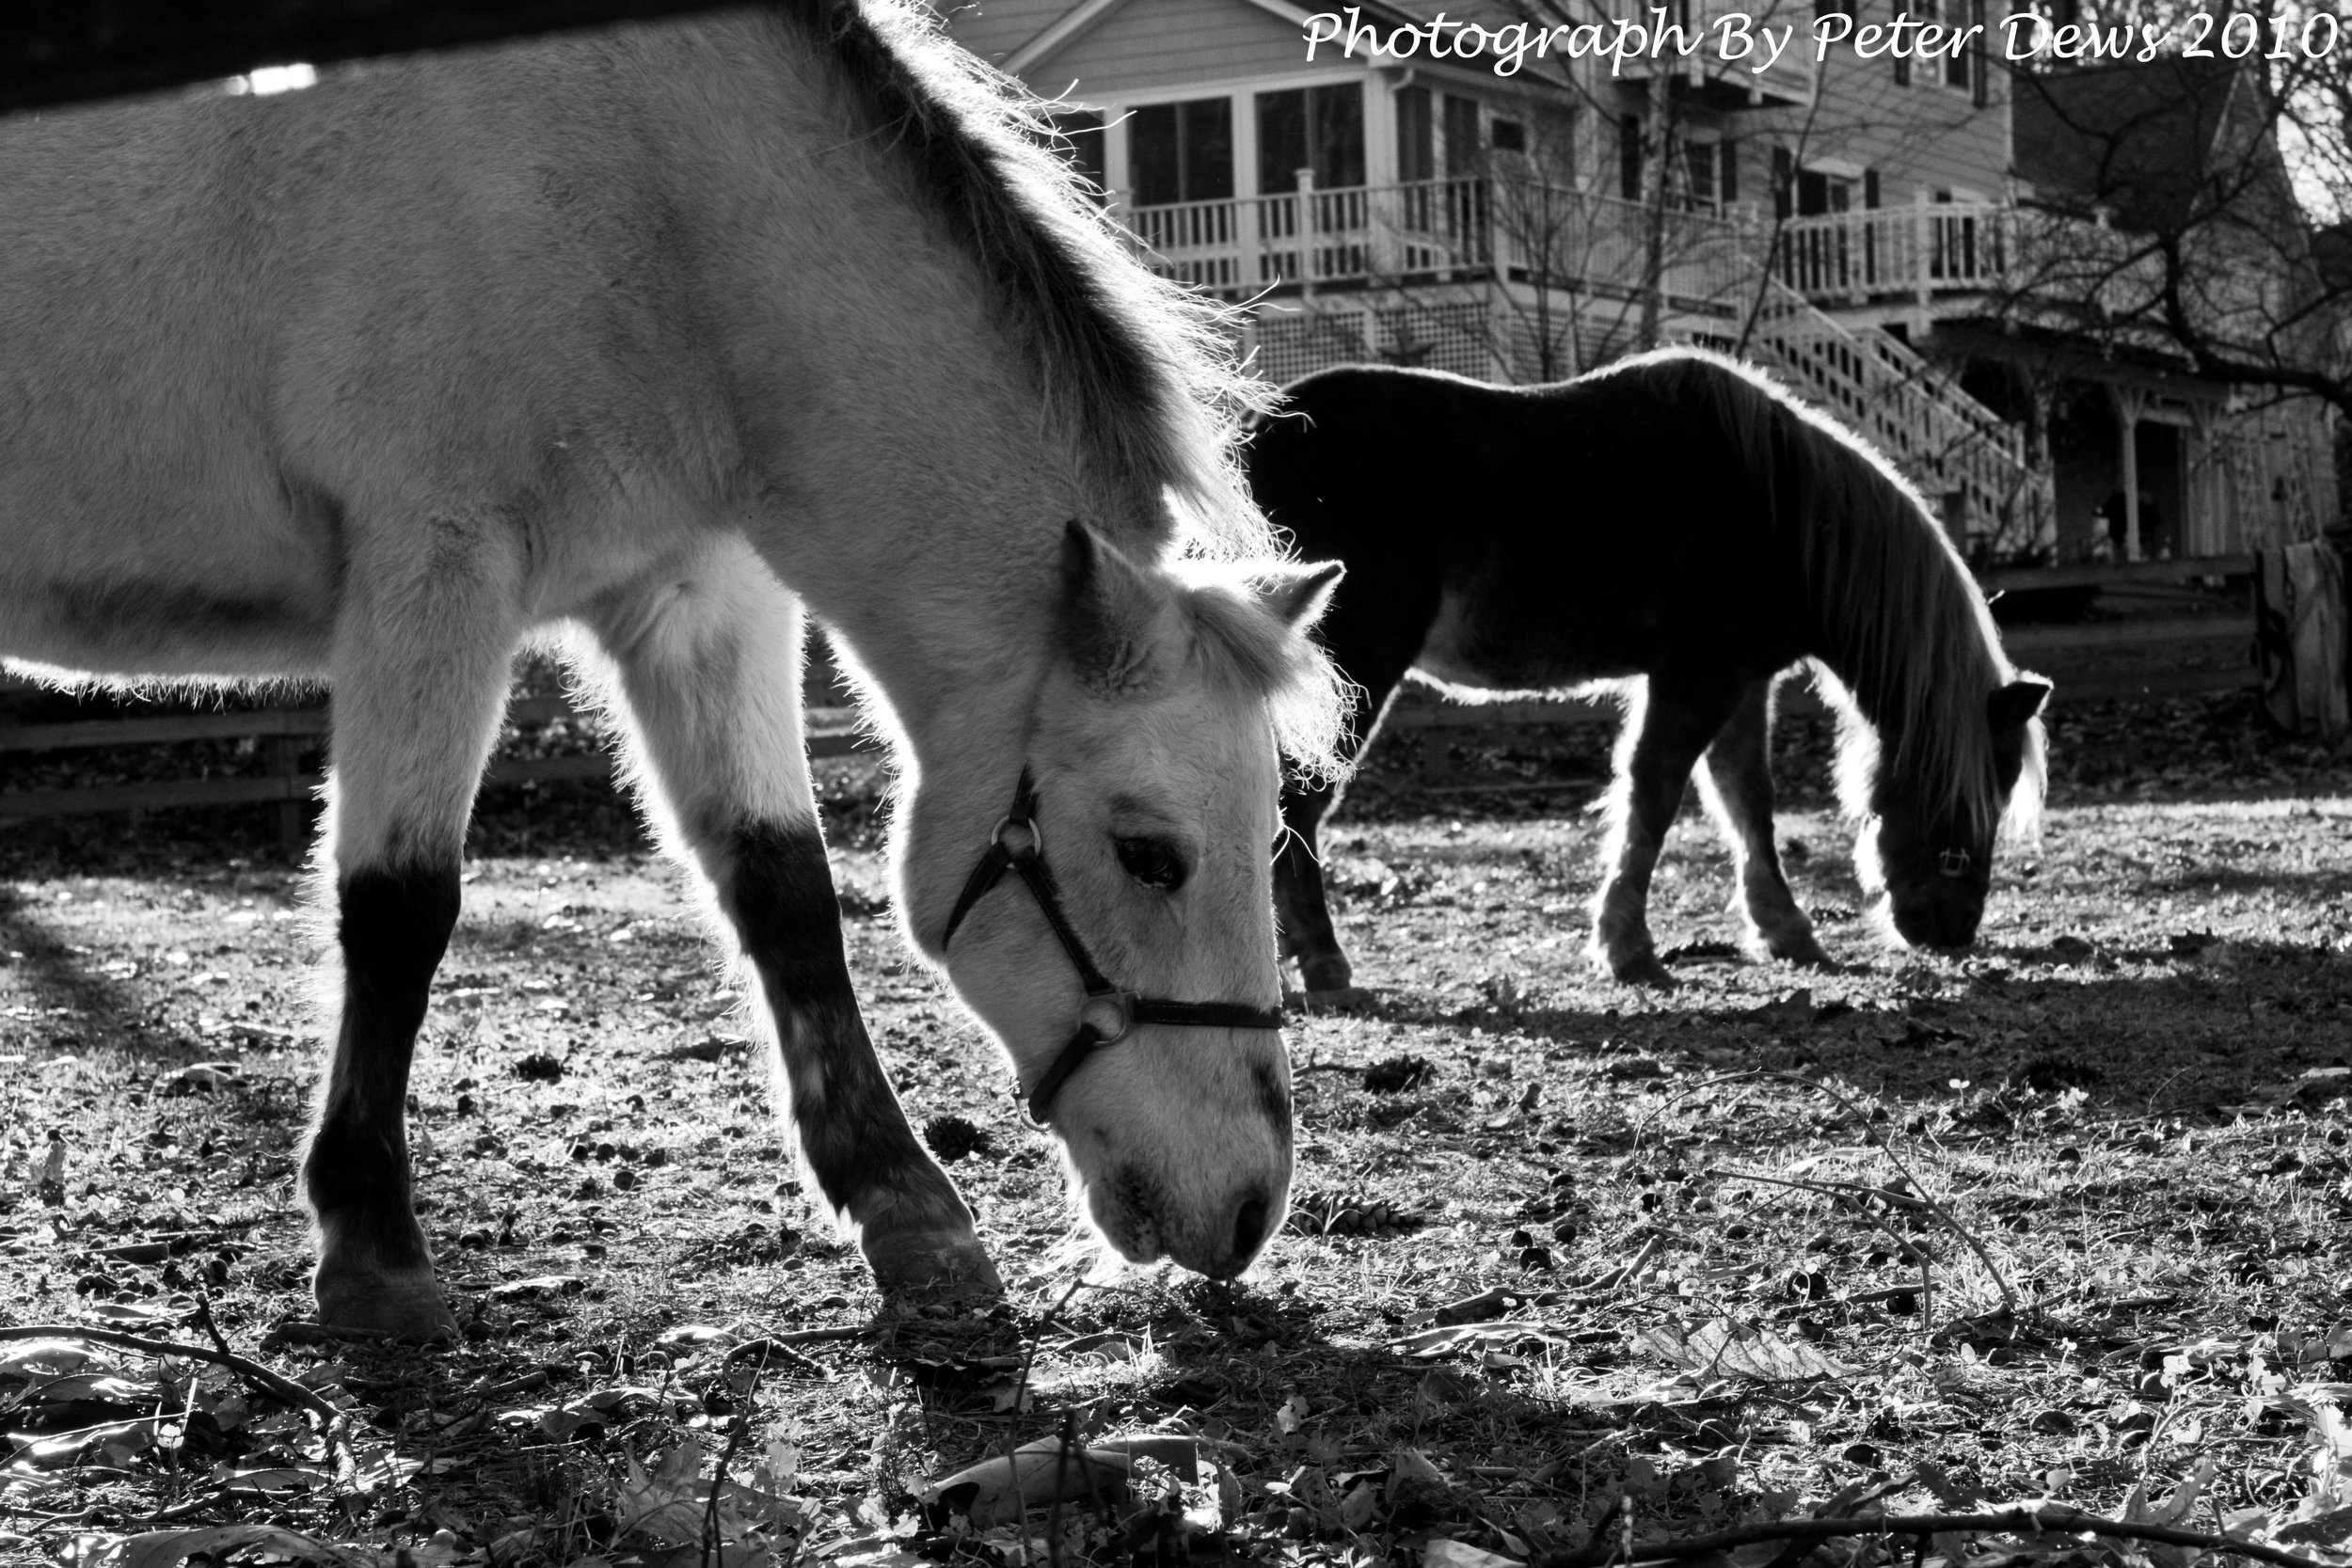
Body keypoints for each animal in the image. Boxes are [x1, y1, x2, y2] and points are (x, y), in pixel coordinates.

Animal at [0, 0, 1349, 1340]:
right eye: (1150, 854)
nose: (1247, 1205)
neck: (655, 204)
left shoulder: (700, 594)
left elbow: (785, 889)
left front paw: (905, 1205)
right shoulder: (432, 577)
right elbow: (398, 908)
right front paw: (372, 1239)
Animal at [1248, 348, 2047, 992]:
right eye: (1974, 787)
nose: (1951, 926)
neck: (1779, 509)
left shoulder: (1743, 681)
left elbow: (1745, 799)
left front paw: (1785, 930)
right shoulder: (1695, 677)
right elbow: (1654, 797)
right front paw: (1628, 947)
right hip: (1354, 675)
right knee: (1301, 802)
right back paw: (1322, 960)